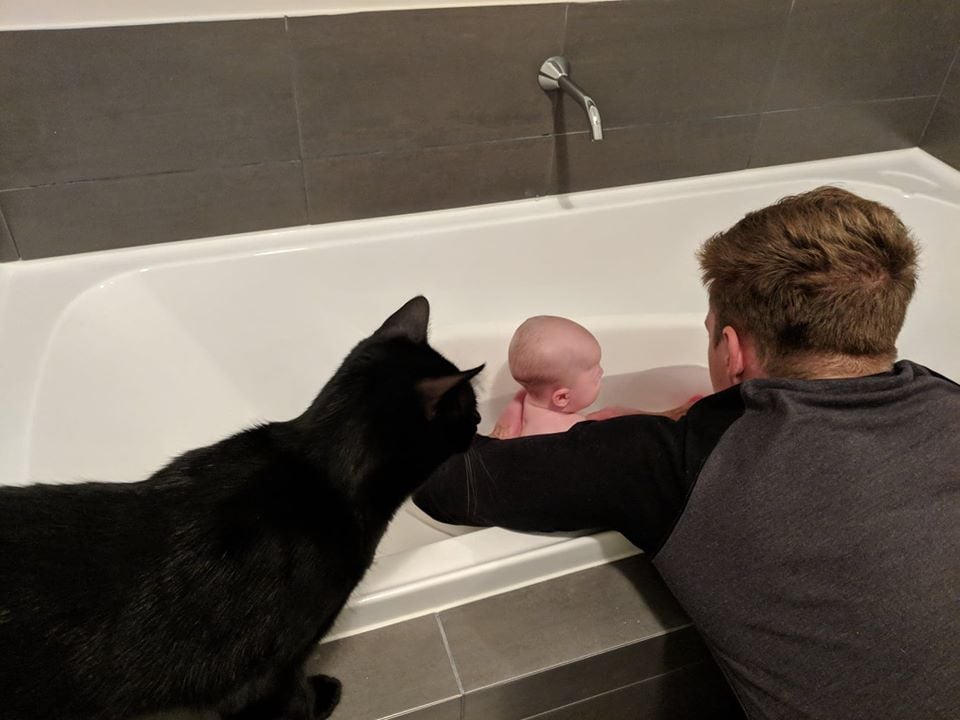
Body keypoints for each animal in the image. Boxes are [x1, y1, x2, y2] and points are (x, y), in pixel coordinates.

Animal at [0, 296, 480, 716]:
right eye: (470, 407)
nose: (478, 422)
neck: (317, 470)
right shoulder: (264, 678)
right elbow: (293, 699)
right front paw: (320, 698)